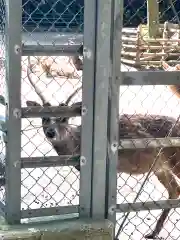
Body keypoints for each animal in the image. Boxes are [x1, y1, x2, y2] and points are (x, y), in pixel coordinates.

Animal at [26, 56, 180, 238]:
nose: (51, 132)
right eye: (44, 117)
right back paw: (152, 232)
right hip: (160, 167)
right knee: (174, 190)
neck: (78, 141)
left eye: (65, 118)